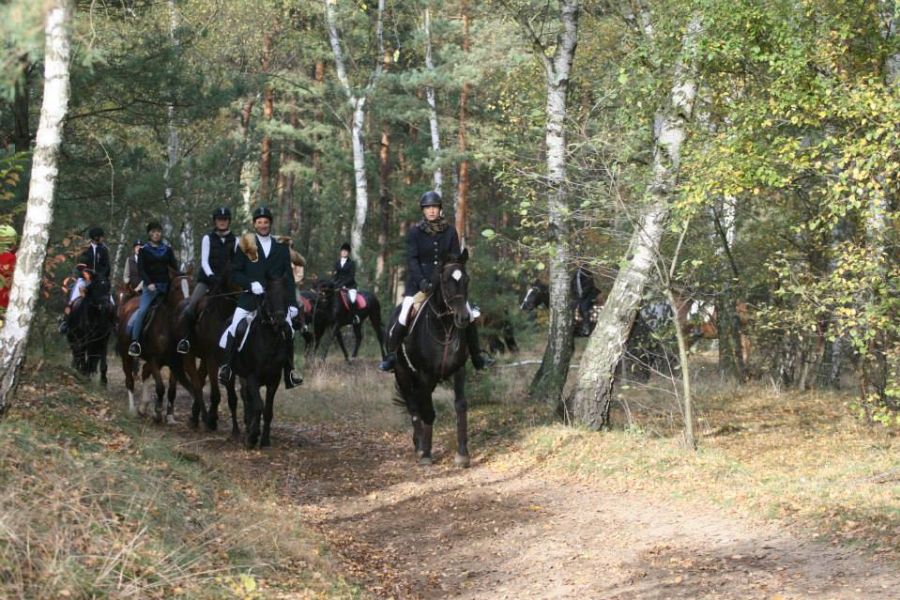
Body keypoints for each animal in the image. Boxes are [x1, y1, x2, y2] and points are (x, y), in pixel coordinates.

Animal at [116, 275, 197, 424]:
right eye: (176, 288)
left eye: (191, 286)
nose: (187, 307)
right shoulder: (154, 359)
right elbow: (160, 387)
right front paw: (158, 412)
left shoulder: (175, 363)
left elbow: (172, 390)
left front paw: (170, 416)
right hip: (126, 354)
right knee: (129, 380)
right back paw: (132, 409)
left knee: (144, 372)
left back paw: (143, 406)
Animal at [228, 276, 294, 448]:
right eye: (268, 296)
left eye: (286, 296)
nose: (280, 321)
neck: (269, 340)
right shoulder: (253, 377)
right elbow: (258, 405)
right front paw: (252, 437)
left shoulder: (274, 380)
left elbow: (268, 410)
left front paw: (264, 439)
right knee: (238, 398)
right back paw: (240, 429)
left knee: (246, 397)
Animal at [392, 250, 474, 468]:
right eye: (445, 281)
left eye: (466, 280)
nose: (463, 318)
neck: (444, 327)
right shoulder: (424, 374)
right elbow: (427, 410)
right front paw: (427, 454)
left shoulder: (458, 369)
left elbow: (460, 405)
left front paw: (462, 454)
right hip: (402, 373)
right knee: (414, 406)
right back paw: (420, 446)